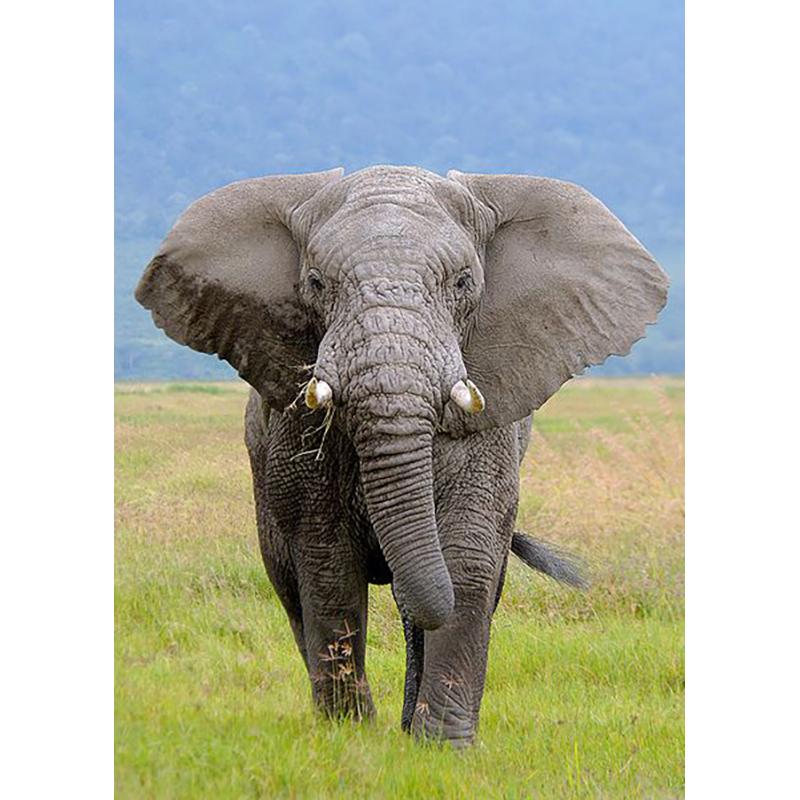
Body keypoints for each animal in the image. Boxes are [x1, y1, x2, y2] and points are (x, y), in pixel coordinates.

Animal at [135, 165, 668, 746]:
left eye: (463, 282)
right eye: (316, 283)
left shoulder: (491, 430)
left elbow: (467, 557)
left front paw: (443, 747)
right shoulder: (295, 433)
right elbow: (327, 564)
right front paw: (350, 737)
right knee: (289, 583)